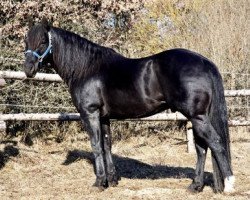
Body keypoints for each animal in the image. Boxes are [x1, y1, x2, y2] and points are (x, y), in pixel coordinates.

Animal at [23, 19, 234, 193]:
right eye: (25, 42)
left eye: (43, 42)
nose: (28, 69)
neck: (87, 69)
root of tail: (204, 62)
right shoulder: (104, 117)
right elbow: (107, 145)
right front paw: (112, 180)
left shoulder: (90, 113)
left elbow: (96, 145)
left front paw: (99, 183)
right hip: (197, 116)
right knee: (201, 148)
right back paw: (195, 186)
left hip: (197, 116)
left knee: (216, 143)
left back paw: (229, 184)